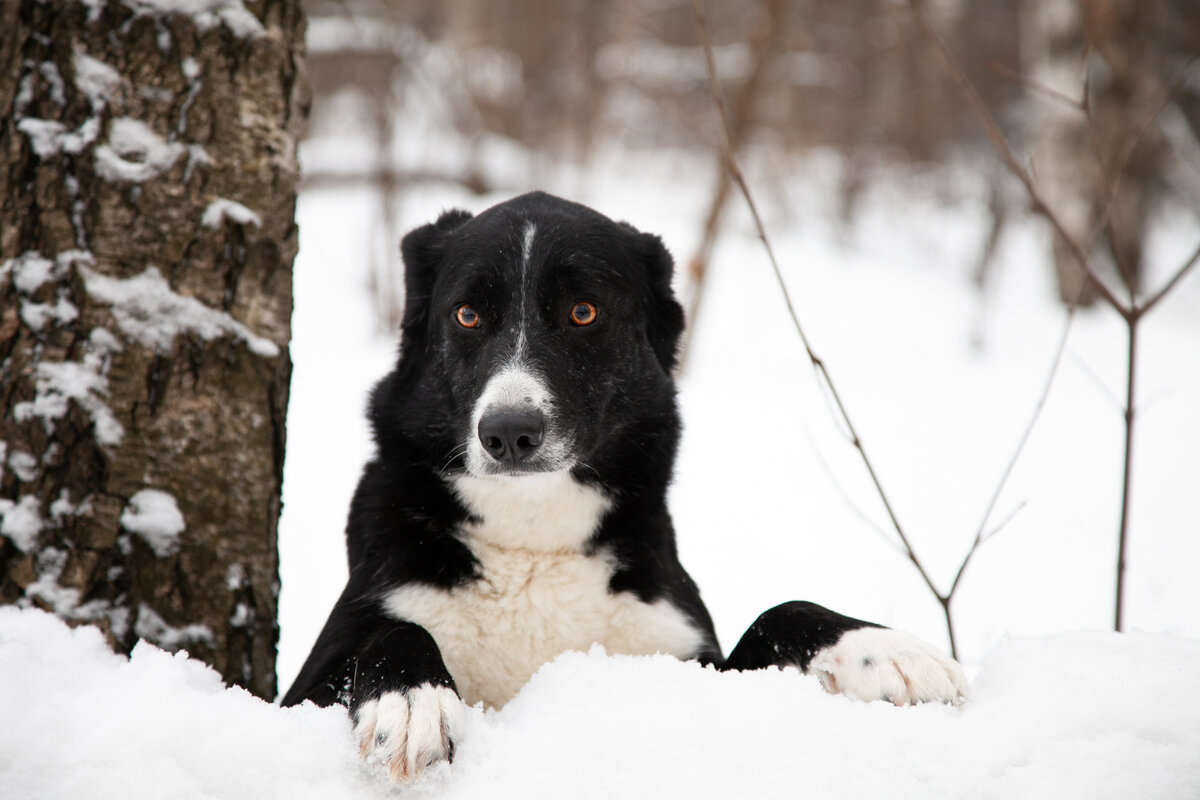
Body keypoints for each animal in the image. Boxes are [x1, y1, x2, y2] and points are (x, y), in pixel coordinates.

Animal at [283, 191, 964, 782]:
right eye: (468, 315)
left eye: (583, 313)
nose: (507, 433)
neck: (533, 544)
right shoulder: (305, 686)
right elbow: (398, 631)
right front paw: (411, 701)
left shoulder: (691, 658)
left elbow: (780, 610)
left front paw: (885, 649)